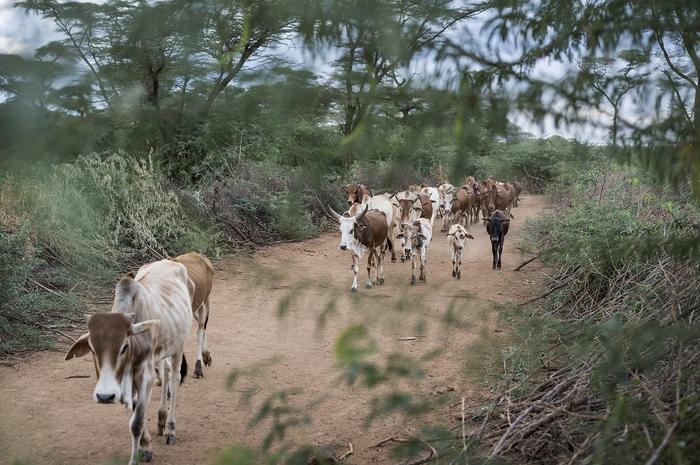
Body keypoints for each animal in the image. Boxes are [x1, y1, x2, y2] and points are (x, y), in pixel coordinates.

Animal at [66, 260, 191, 462]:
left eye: (124, 346)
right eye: (92, 349)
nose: (104, 397)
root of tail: (169, 261)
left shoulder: (145, 376)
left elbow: (136, 422)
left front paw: (138, 455)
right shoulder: (127, 380)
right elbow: (134, 414)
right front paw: (145, 447)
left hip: (178, 346)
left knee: (174, 378)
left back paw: (170, 429)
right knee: (165, 373)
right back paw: (161, 419)